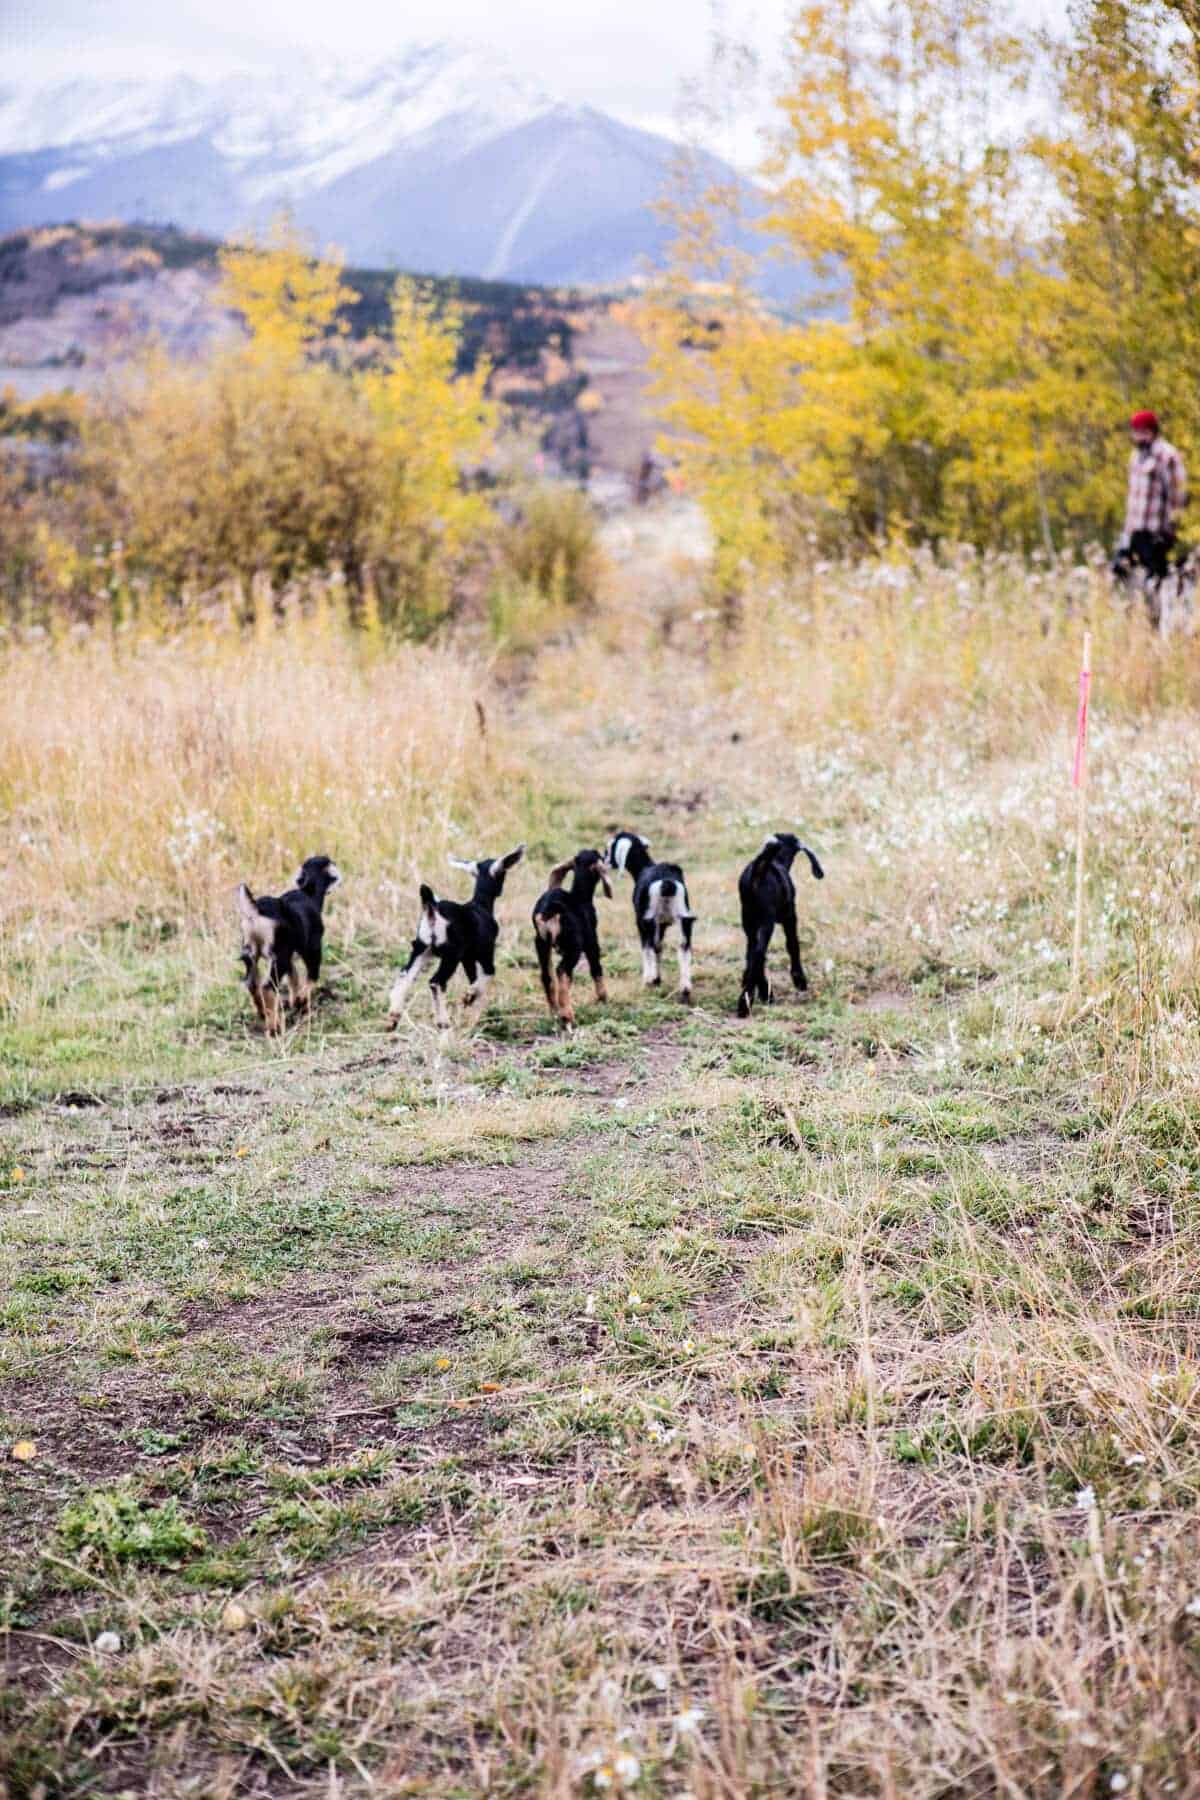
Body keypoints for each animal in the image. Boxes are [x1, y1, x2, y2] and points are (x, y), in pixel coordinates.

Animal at [236, 855, 341, 1035]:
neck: (308, 892)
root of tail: (255, 911)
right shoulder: (313, 948)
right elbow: (312, 976)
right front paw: (302, 1001)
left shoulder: (290, 953)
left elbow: (294, 978)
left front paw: (295, 1001)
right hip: (279, 956)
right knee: (267, 987)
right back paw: (274, 1027)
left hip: (252, 954)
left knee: (252, 984)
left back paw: (263, 1013)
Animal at [387, 845, 525, 1028]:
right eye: (502, 873)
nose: (500, 891)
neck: (481, 905)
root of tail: (432, 907)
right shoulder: (485, 950)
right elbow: (489, 972)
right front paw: (469, 997)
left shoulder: (467, 957)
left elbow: (474, 978)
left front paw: (471, 1007)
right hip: (451, 953)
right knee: (436, 982)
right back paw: (443, 1021)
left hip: (421, 948)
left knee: (405, 974)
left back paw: (393, 1017)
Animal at [531, 848, 612, 1029]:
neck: (580, 896)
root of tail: (550, 910)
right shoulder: (591, 941)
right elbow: (596, 968)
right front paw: (603, 998)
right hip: (573, 947)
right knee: (562, 971)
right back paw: (567, 1015)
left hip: (541, 943)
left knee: (546, 976)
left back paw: (555, 1013)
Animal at [606, 829, 697, 1004]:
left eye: (609, 848)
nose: (605, 860)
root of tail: (666, 884)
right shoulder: (662, 924)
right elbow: (660, 947)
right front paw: (658, 979)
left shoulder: (644, 920)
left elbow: (649, 947)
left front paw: (653, 979)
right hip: (683, 917)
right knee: (683, 947)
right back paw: (685, 989)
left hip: (648, 919)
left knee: (648, 946)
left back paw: (648, 980)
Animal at [736, 832, 824, 1017]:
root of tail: (759, 869)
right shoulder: (790, 916)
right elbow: (793, 944)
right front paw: (799, 980)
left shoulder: (751, 927)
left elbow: (749, 956)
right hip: (767, 921)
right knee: (759, 953)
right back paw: (746, 1003)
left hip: (748, 920)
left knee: (754, 954)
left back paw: (761, 993)